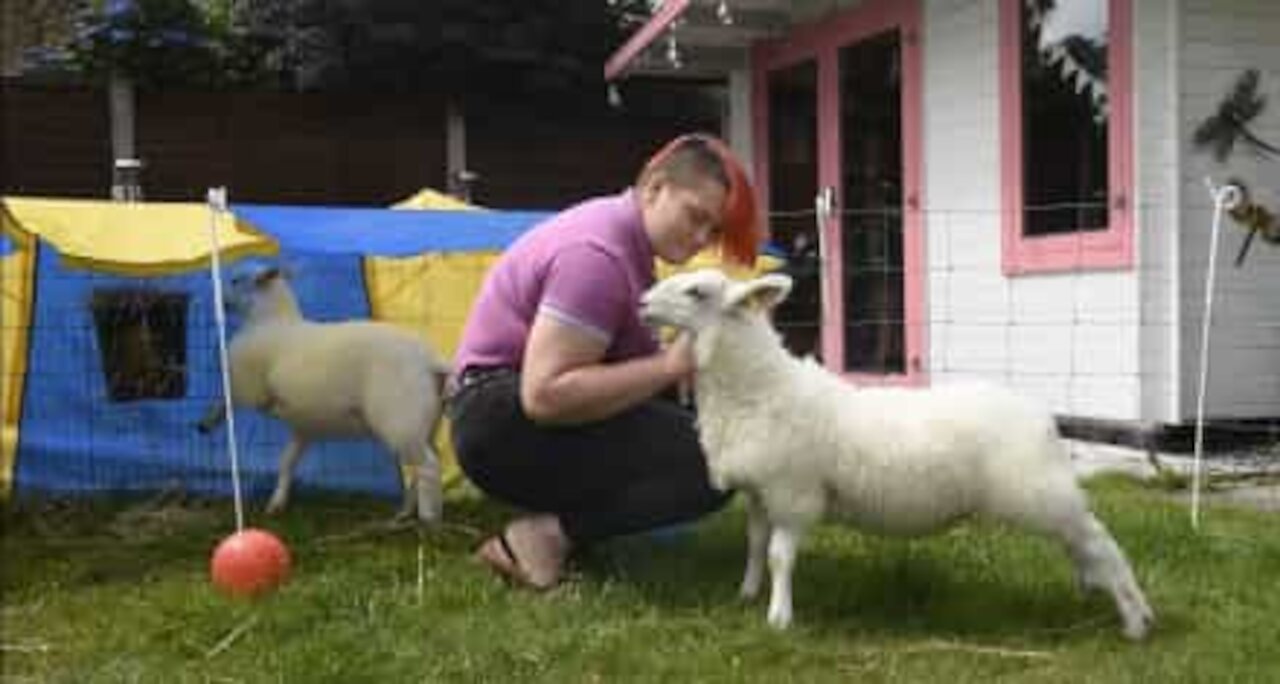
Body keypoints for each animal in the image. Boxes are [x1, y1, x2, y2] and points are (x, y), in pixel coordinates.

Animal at [197, 266, 453, 525]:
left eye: (235, 280)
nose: (219, 301)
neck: (271, 320)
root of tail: (431, 362)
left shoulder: (247, 387)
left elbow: (228, 400)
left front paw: (208, 421)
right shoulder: (304, 427)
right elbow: (287, 462)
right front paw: (277, 503)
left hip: (400, 421)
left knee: (429, 466)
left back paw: (429, 518)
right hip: (425, 424)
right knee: (426, 463)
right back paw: (405, 513)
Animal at [645, 268, 1157, 643]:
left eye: (696, 291)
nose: (644, 302)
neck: (759, 388)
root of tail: (1043, 417)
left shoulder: (794, 494)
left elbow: (779, 557)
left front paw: (779, 617)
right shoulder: (759, 492)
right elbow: (755, 546)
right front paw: (748, 595)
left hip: (1038, 490)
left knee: (1101, 543)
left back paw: (1135, 619)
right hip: (1043, 495)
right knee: (1081, 544)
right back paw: (1096, 591)